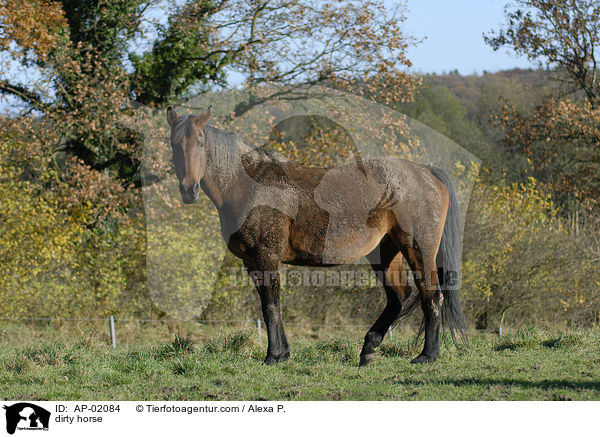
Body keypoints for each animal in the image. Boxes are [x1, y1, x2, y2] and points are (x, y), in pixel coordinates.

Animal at [166, 104, 466, 364]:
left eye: (201, 143)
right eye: (174, 144)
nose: (189, 190)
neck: (248, 183)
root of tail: (426, 171)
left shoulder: (266, 257)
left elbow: (271, 307)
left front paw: (273, 356)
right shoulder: (252, 263)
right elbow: (271, 306)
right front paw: (284, 353)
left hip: (417, 249)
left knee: (431, 295)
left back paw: (427, 355)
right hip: (385, 253)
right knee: (399, 297)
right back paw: (368, 349)